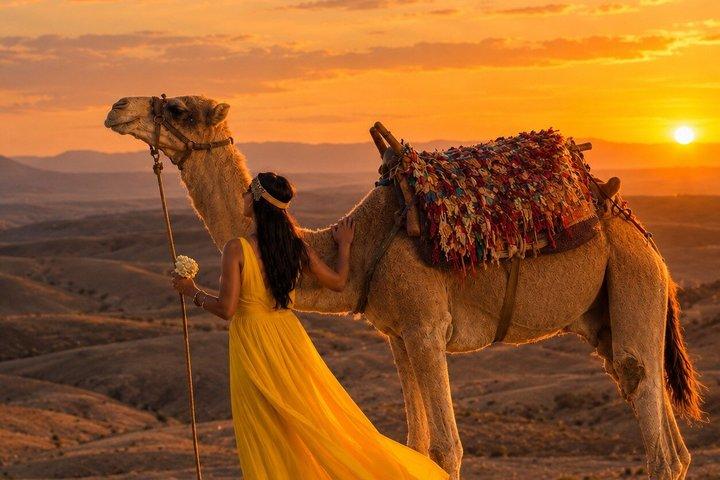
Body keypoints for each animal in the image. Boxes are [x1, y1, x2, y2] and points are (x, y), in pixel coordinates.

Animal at [104, 94, 703, 480]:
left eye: (177, 108)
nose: (116, 108)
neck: (360, 243)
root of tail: (641, 233)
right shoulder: (396, 335)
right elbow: (415, 443)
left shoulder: (426, 327)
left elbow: (447, 450)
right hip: (612, 310)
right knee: (663, 425)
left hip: (632, 281)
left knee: (652, 425)